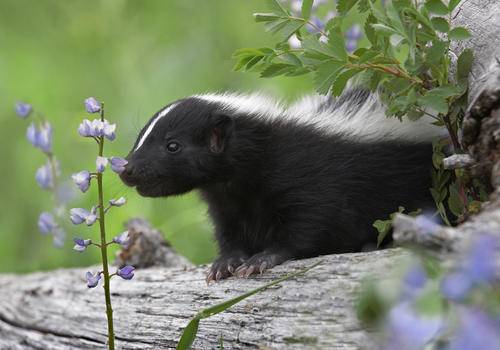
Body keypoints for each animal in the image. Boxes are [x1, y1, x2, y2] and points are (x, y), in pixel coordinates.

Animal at [121, 87, 442, 282]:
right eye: (141, 136)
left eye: (172, 146)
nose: (127, 169)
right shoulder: (226, 201)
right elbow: (229, 233)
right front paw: (226, 262)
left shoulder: (310, 178)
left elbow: (308, 226)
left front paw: (263, 258)